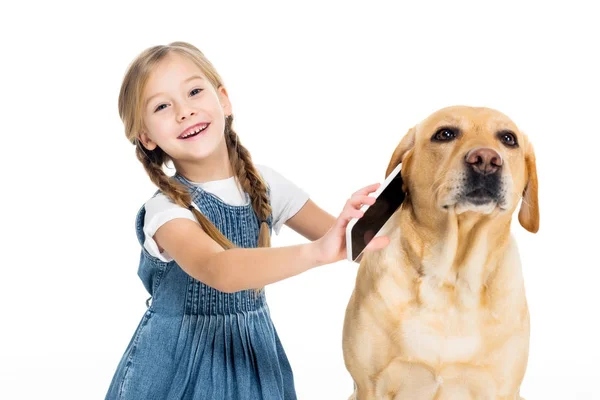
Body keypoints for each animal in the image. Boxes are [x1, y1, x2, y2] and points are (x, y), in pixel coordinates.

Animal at [342, 104, 540, 398]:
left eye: (508, 139)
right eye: (445, 134)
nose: (486, 159)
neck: (450, 279)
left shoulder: (502, 388)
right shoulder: (369, 386)